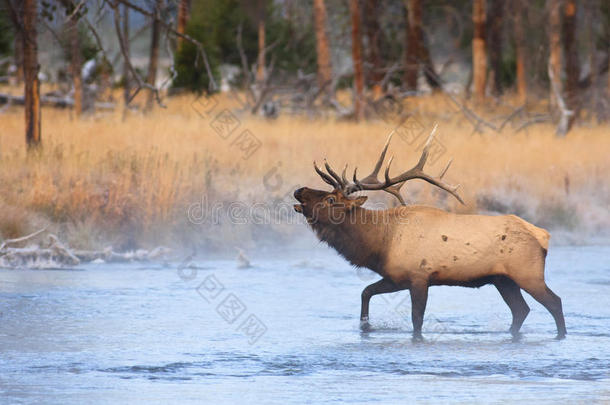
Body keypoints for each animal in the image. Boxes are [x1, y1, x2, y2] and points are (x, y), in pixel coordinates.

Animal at [292, 125, 564, 338]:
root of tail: (543, 235)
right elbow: (365, 292)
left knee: (554, 302)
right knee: (521, 310)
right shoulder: (396, 276)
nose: (299, 190)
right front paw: (365, 327)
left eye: (329, 199)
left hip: (528, 273)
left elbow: (417, 320)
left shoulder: (419, 276)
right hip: (503, 279)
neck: (381, 242)